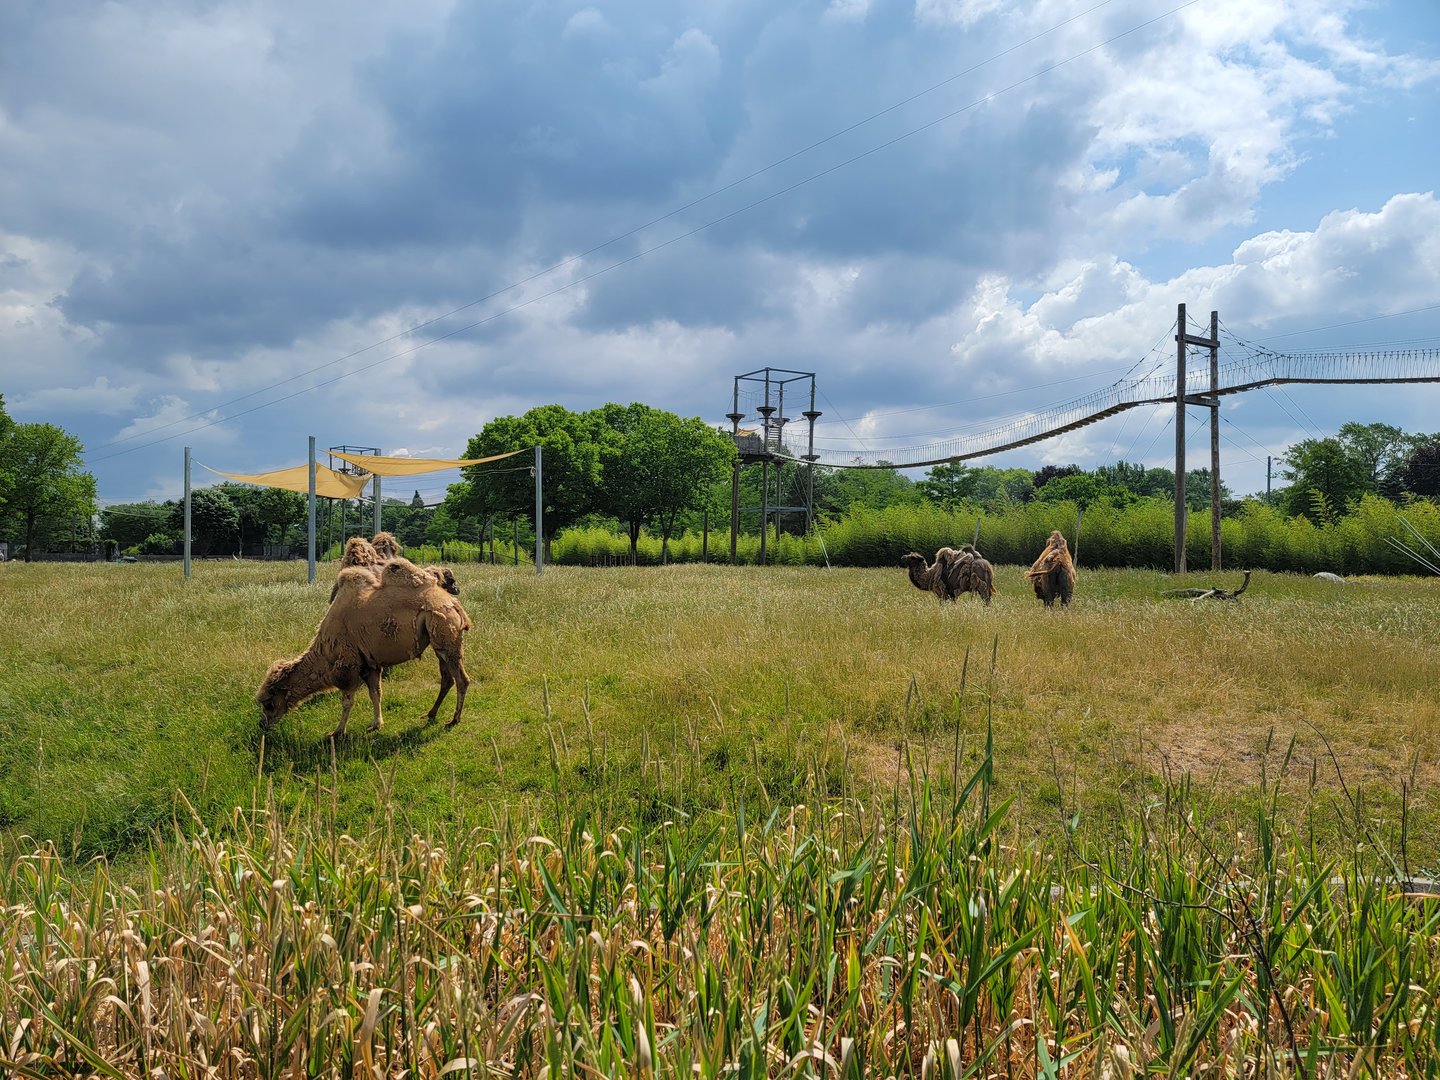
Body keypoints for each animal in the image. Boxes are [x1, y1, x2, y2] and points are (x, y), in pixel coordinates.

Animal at [259, 557, 472, 737]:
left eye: (269, 704)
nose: (262, 725)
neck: (325, 651)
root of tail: (454, 604)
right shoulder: (370, 664)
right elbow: (375, 693)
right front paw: (376, 724)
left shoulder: (348, 666)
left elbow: (347, 701)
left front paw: (337, 732)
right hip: (439, 644)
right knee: (447, 679)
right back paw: (431, 713)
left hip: (446, 636)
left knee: (462, 679)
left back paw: (453, 720)